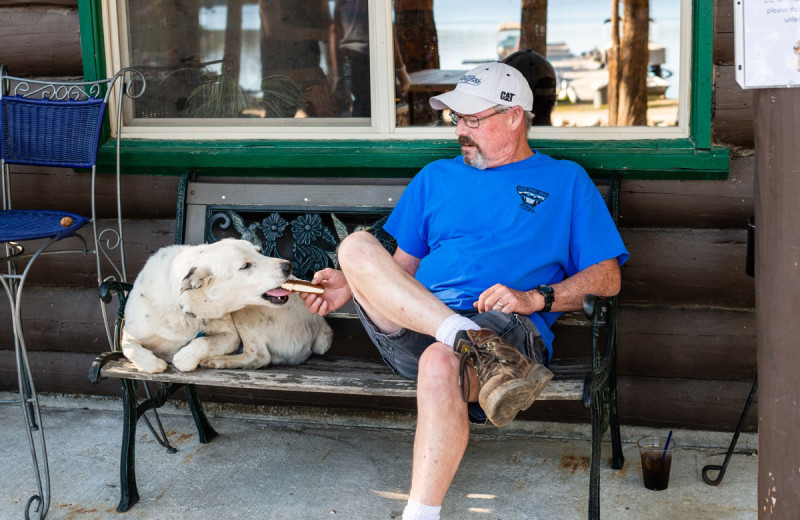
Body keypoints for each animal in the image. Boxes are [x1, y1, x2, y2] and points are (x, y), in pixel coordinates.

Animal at [119, 240, 332, 374]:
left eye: (259, 251)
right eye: (245, 266)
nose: (288, 266)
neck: (183, 308)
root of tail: (322, 324)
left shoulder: (230, 336)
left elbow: (196, 347)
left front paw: (185, 358)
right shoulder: (128, 333)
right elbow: (130, 348)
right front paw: (154, 363)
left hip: (246, 311)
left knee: (260, 356)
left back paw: (218, 361)